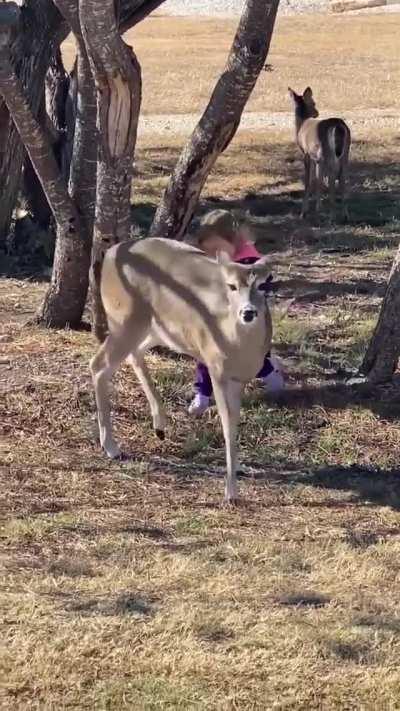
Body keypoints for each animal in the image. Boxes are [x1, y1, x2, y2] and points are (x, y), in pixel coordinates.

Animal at [90, 237, 273, 503]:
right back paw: (111, 447)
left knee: (135, 353)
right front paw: (230, 492)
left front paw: (238, 468)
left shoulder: (239, 378)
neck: (238, 346)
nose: (248, 312)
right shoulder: (217, 368)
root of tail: (111, 254)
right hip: (125, 318)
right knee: (99, 365)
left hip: (159, 329)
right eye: (231, 286)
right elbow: (227, 425)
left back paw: (159, 425)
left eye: (262, 285)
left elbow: (235, 422)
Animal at [288, 86, 351, 222]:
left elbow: (309, 181)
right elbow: (317, 180)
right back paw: (345, 215)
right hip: (345, 152)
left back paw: (331, 216)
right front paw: (315, 208)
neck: (301, 126)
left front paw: (304, 212)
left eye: (313, 102)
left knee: (332, 177)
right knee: (342, 178)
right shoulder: (316, 159)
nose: (317, 112)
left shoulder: (307, 153)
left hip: (327, 153)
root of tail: (339, 125)